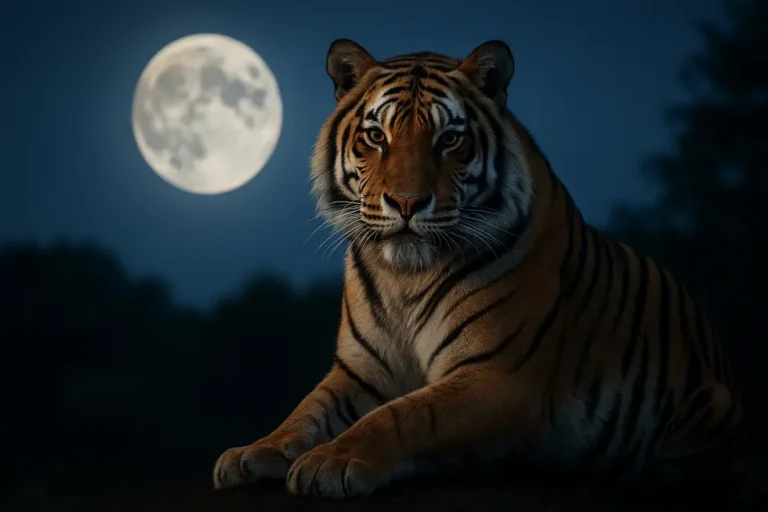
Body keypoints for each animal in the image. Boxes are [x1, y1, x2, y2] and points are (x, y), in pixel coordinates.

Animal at [212, 39, 752, 503]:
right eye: (376, 136)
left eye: (450, 139)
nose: (406, 203)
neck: (404, 276)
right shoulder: (359, 371)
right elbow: (306, 413)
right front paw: (253, 453)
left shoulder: (494, 375)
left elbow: (402, 417)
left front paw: (331, 461)